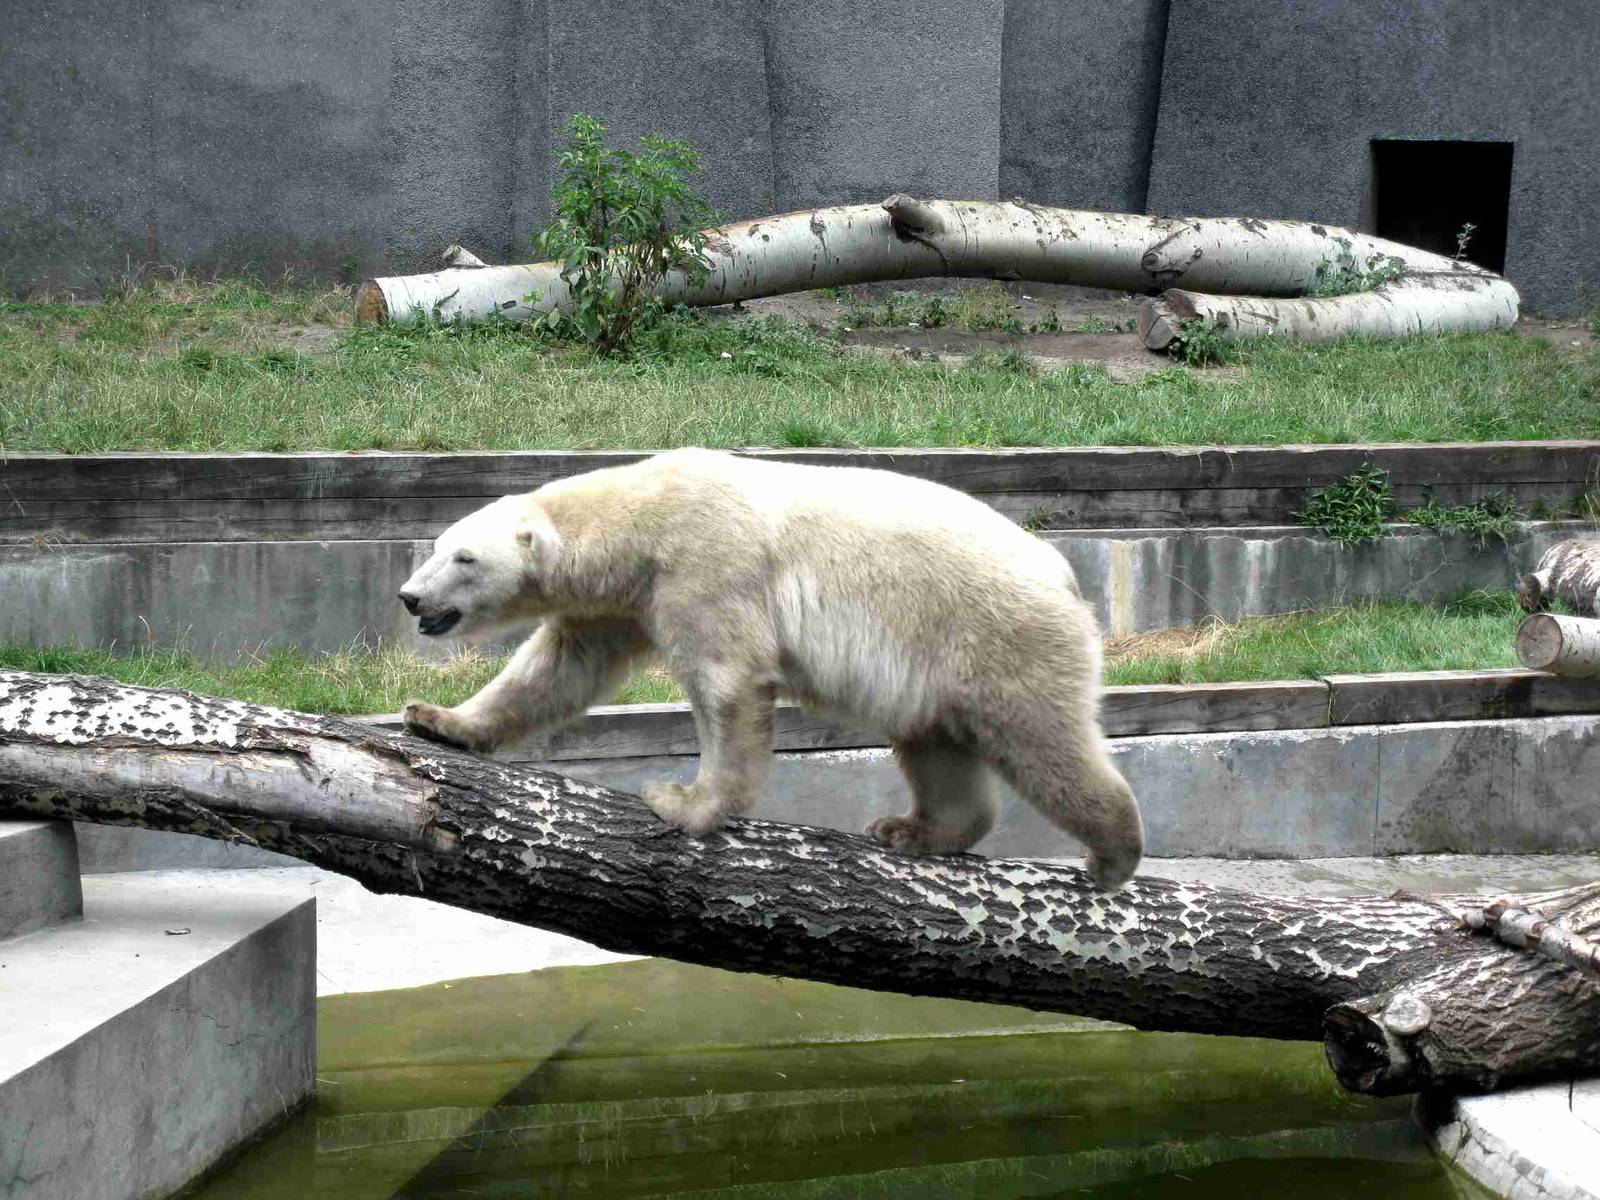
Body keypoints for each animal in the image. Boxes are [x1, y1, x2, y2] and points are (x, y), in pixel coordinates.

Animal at [398, 448, 1144, 888]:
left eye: (464, 557)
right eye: (436, 546)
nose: (410, 597)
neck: (642, 515)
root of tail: (1064, 573)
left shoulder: (705, 560)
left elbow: (727, 681)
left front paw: (685, 804)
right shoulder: (622, 601)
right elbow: (558, 668)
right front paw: (438, 719)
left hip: (997, 632)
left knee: (1041, 738)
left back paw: (1112, 852)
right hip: (939, 662)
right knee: (936, 743)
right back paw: (912, 829)